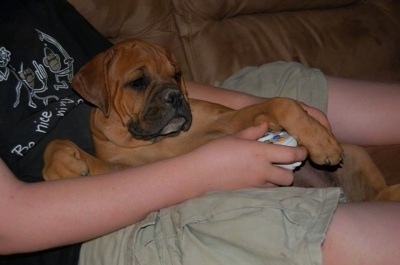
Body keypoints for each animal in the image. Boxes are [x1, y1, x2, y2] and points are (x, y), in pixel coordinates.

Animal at [41, 38, 400, 200]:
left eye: (176, 74)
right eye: (138, 82)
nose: (176, 96)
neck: (157, 140)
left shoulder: (229, 121)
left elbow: (280, 103)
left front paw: (320, 139)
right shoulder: (120, 171)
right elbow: (57, 143)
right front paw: (61, 168)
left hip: (356, 154)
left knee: (380, 193)